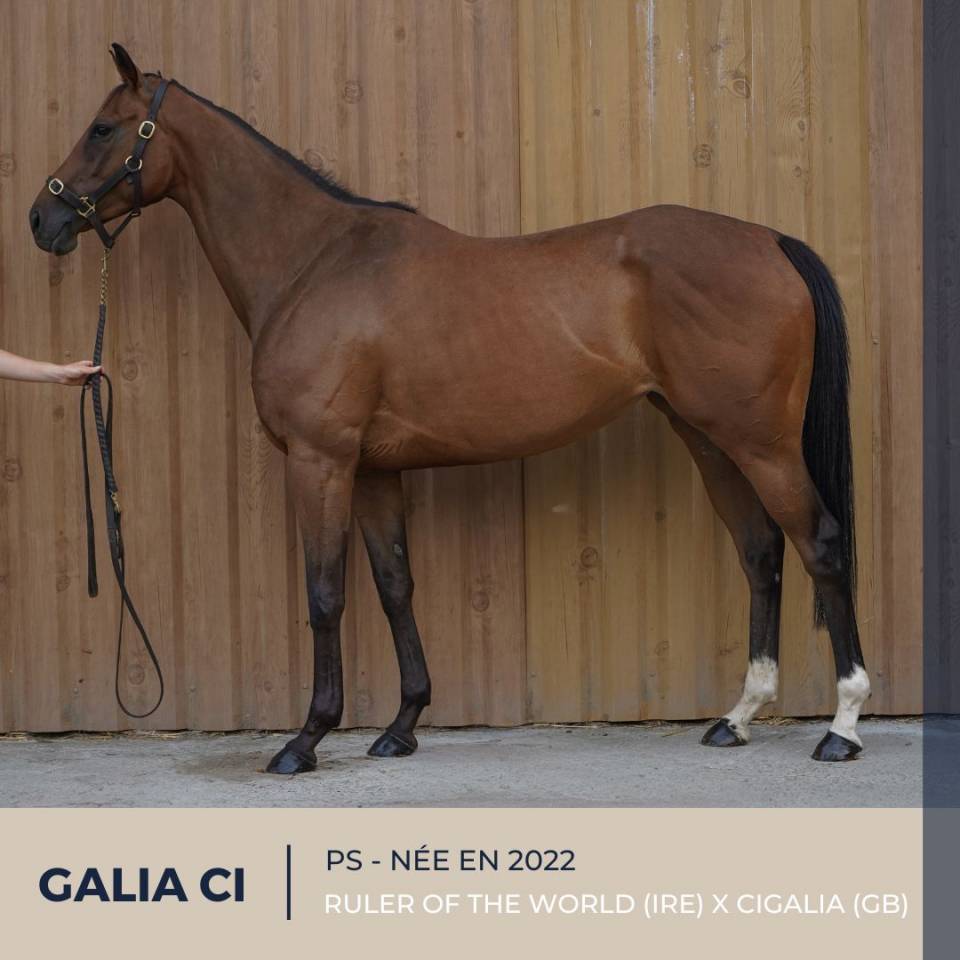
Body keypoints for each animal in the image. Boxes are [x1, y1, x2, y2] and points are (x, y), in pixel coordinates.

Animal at [29, 44, 869, 774]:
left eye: (102, 127)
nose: (44, 219)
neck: (312, 263)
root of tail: (771, 241)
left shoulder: (321, 461)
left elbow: (326, 594)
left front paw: (305, 740)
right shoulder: (372, 472)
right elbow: (394, 585)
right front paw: (401, 727)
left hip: (761, 443)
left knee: (821, 545)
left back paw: (843, 726)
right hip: (708, 437)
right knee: (761, 550)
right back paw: (737, 718)